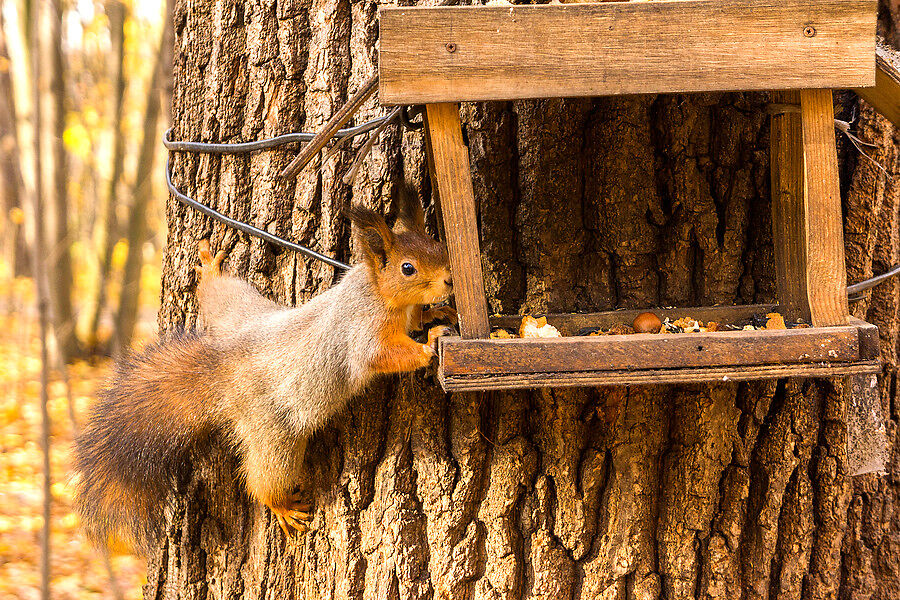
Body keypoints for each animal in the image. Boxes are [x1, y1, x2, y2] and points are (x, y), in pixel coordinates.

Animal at [72, 199, 458, 552]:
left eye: (440, 246)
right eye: (408, 268)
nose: (451, 280)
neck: (377, 290)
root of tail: (227, 366)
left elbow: (416, 320)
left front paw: (438, 313)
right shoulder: (363, 330)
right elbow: (382, 355)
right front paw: (430, 345)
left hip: (241, 312)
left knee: (220, 296)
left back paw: (211, 272)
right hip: (272, 433)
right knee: (264, 479)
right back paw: (283, 507)